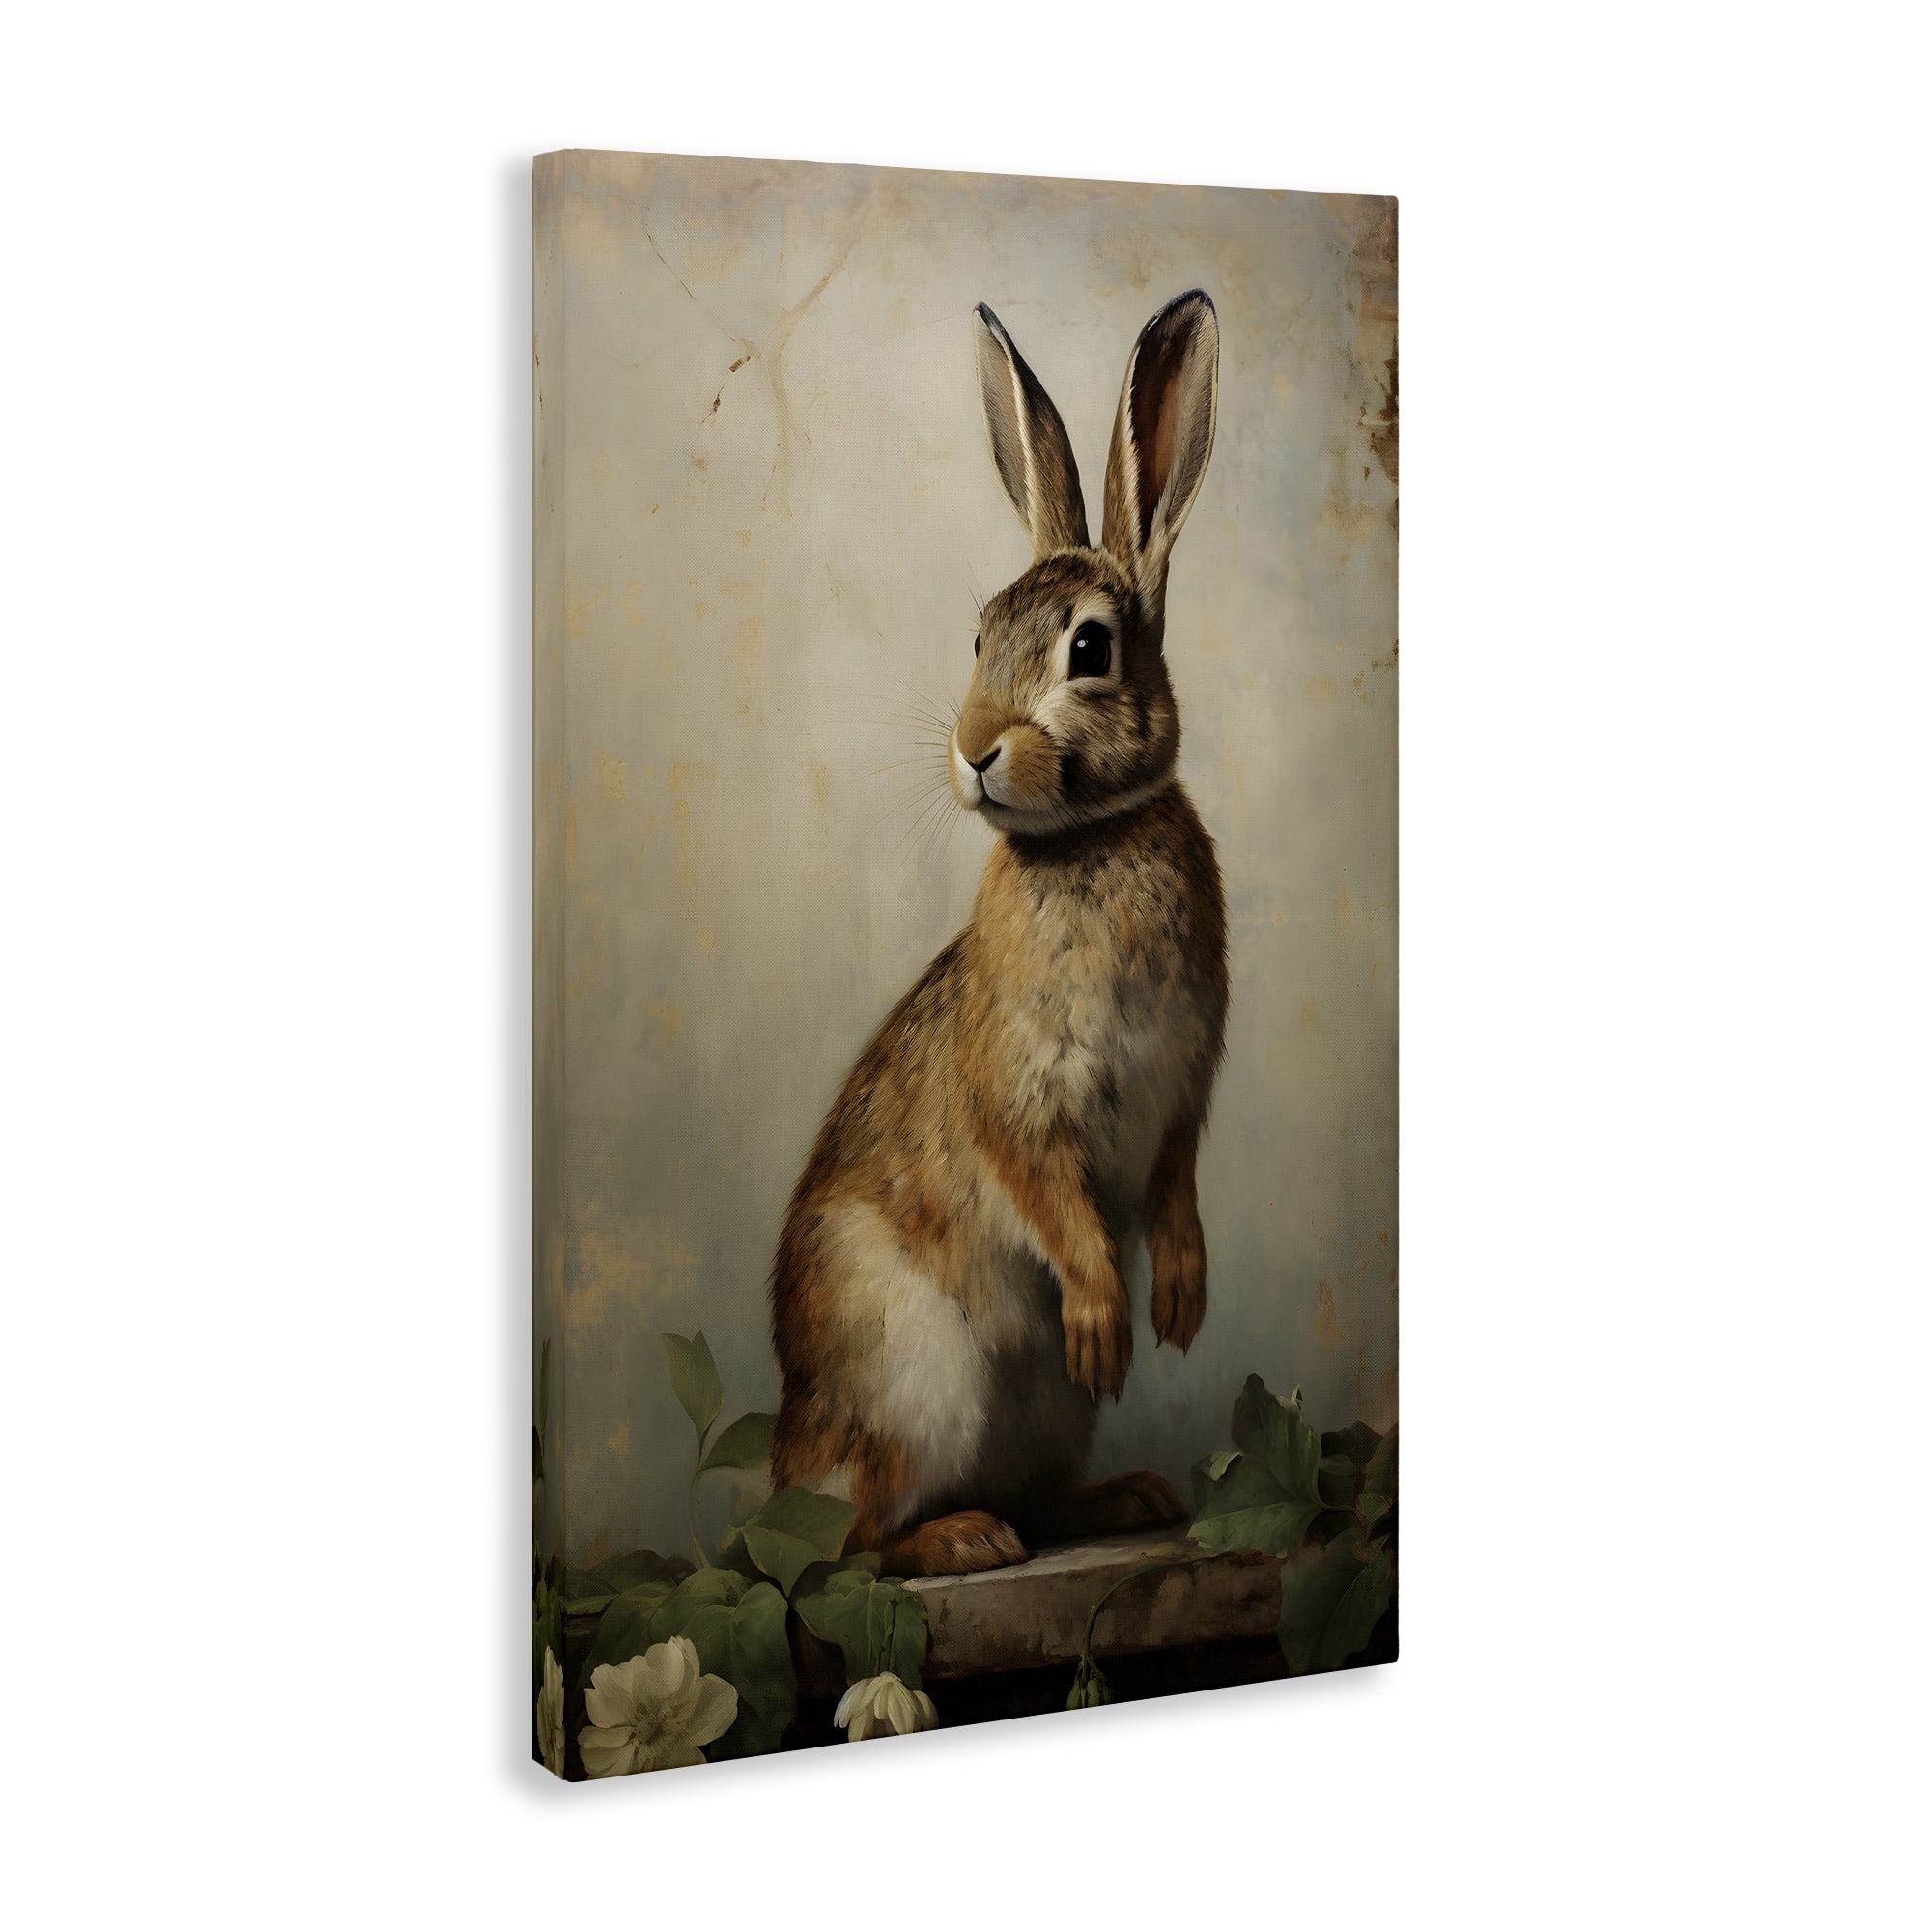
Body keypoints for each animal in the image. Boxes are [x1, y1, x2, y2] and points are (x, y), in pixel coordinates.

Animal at [770, 290, 1228, 1578]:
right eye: (978, 637)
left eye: (1088, 650)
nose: (974, 746)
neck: (1084, 840)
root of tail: (781, 1466)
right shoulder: (1021, 1097)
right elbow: (1053, 1200)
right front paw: (1108, 1317)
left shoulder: (1184, 1085)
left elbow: (1174, 1183)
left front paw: (1176, 1301)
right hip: (914, 1376)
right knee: (858, 1542)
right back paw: (963, 1538)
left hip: (1037, 1414)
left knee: (1028, 1496)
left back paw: (1120, 1496)